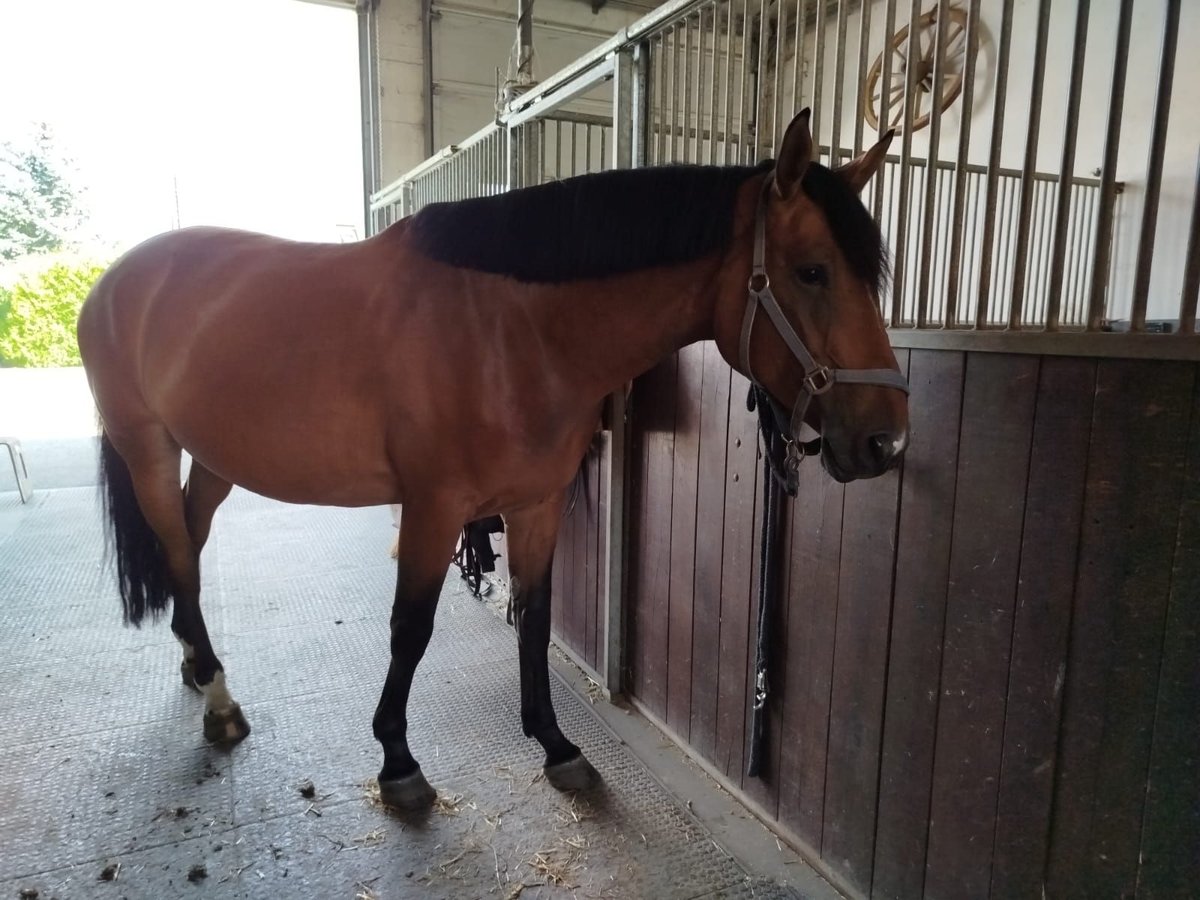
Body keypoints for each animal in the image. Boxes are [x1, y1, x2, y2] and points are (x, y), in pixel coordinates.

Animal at [77, 109, 907, 816]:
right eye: (811, 271)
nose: (886, 442)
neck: (512, 331)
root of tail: (115, 282)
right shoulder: (434, 508)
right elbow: (410, 628)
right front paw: (399, 762)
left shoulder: (536, 504)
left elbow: (534, 620)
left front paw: (557, 745)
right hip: (148, 448)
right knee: (179, 556)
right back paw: (220, 703)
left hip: (214, 457)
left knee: (187, 546)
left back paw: (197, 665)